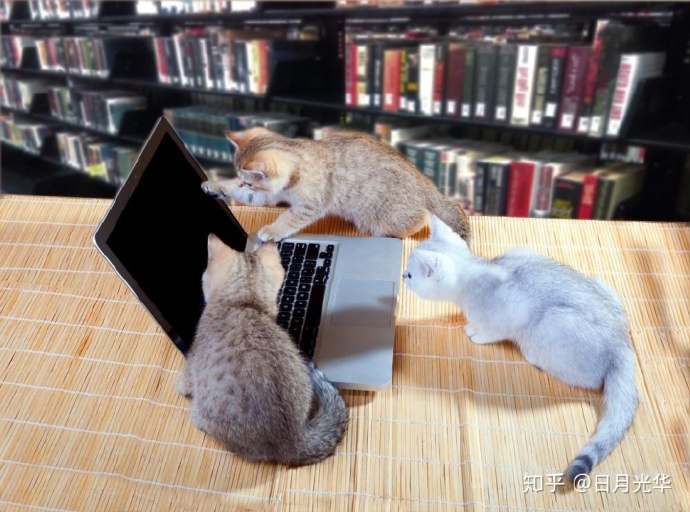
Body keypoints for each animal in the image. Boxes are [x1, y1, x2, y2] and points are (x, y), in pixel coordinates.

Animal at [201, 127, 471, 243]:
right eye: (243, 182)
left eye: (250, 182)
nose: (245, 185)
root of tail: (425, 183)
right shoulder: (270, 194)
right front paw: (215, 184)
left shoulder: (309, 206)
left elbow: (288, 219)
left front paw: (273, 230)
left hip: (388, 216)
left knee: (422, 218)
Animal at [403, 215, 638, 486]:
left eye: (410, 274)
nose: (402, 276)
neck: (475, 272)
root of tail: (622, 345)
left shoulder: (510, 313)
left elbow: (491, 331)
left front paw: (474, 332)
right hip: (604, 286)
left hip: (554, 326)